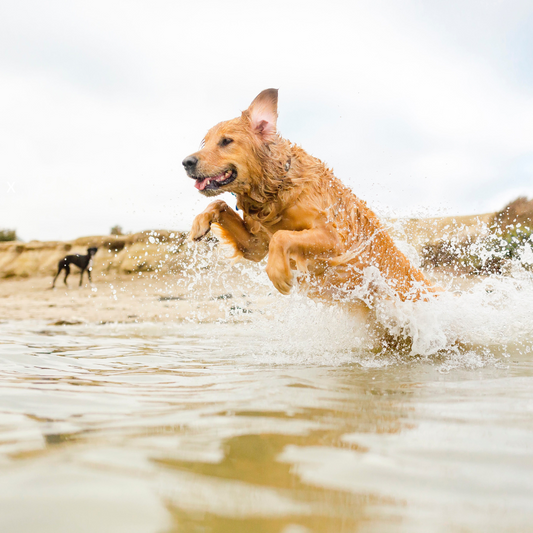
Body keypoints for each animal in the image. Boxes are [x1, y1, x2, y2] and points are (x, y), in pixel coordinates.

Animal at [183, 88, 436, 304]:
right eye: (205, 142)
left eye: (226, 141)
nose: (186, 162)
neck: (276, 190)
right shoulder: (256, 246)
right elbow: (219, 202)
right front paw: (199, 224)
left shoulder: (335, 239)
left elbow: (281, 236)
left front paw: (278, 273)